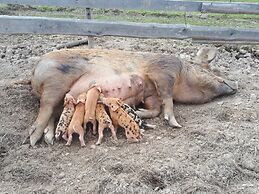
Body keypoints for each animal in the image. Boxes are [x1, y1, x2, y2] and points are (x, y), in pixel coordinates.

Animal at [29, 48, 239, 146]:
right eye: (210, 71)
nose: (236, 85)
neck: (183, 75)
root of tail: (34, 69)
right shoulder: (163, 71)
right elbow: (167, 97)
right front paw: (175, 123)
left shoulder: (151, 94)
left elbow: (156, 108)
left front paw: (139, 110)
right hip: (55, 82)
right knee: (44, 109)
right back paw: (32, 140)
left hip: (62, 97)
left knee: (53, 114)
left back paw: (49, 138)